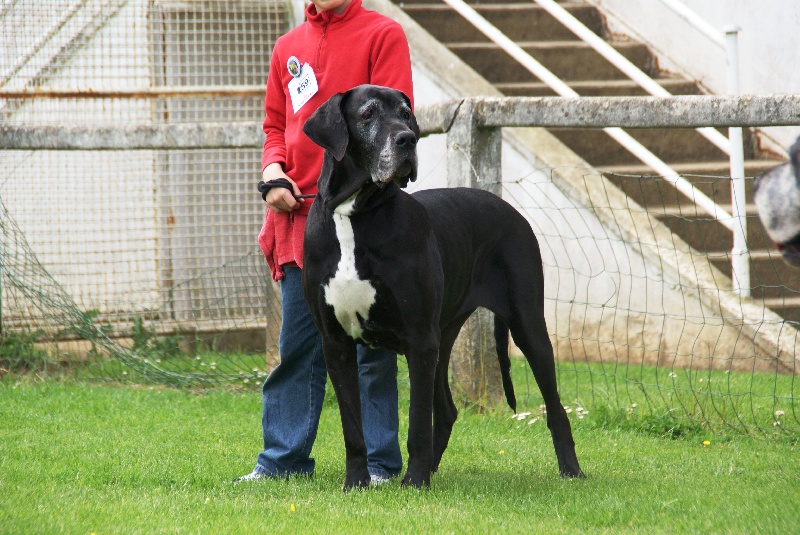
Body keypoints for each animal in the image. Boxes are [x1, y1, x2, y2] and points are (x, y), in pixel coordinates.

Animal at [298, 86, 580, 492]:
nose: (407, 140)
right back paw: (430, 467)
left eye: (406, 114)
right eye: (367, 114)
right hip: (443, 336)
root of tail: (509, 208)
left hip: (525, 325)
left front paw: (414, 482)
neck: (355, 212)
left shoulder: (418, 339)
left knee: (555, 408)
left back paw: (572, 471)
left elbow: (417, 422)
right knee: (446, 410)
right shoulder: (335, 342)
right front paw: (356, 483)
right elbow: (353, 426)